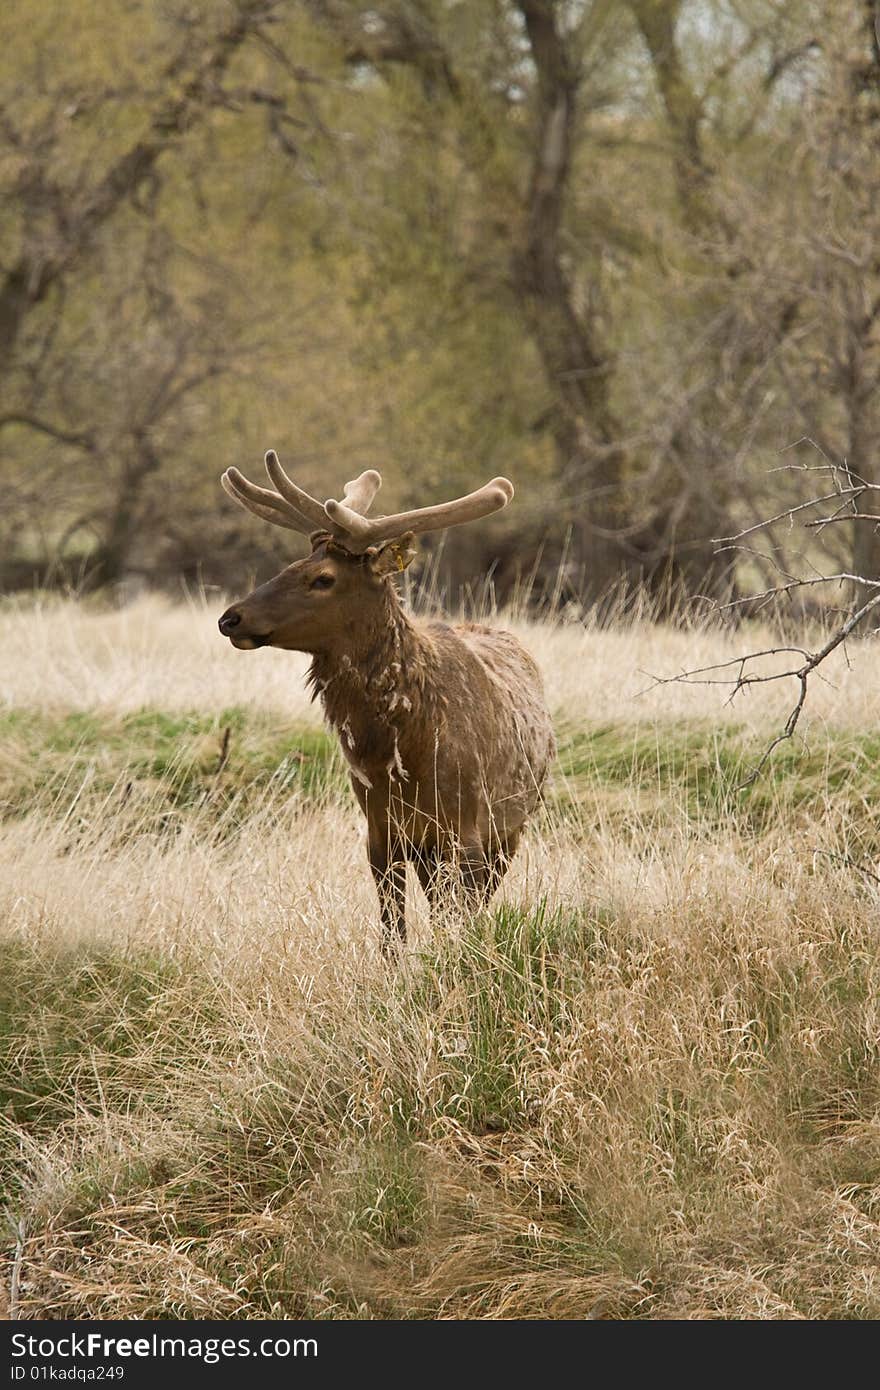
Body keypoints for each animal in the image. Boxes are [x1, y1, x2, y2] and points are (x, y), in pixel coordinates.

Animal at [216, 450, 553, 950]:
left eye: (323, 578)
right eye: (293, 563)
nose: (231, 618)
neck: (406, 751)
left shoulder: (467, 830)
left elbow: (462, 924)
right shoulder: (381, 832)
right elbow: (393, 935)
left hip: (512, 826)